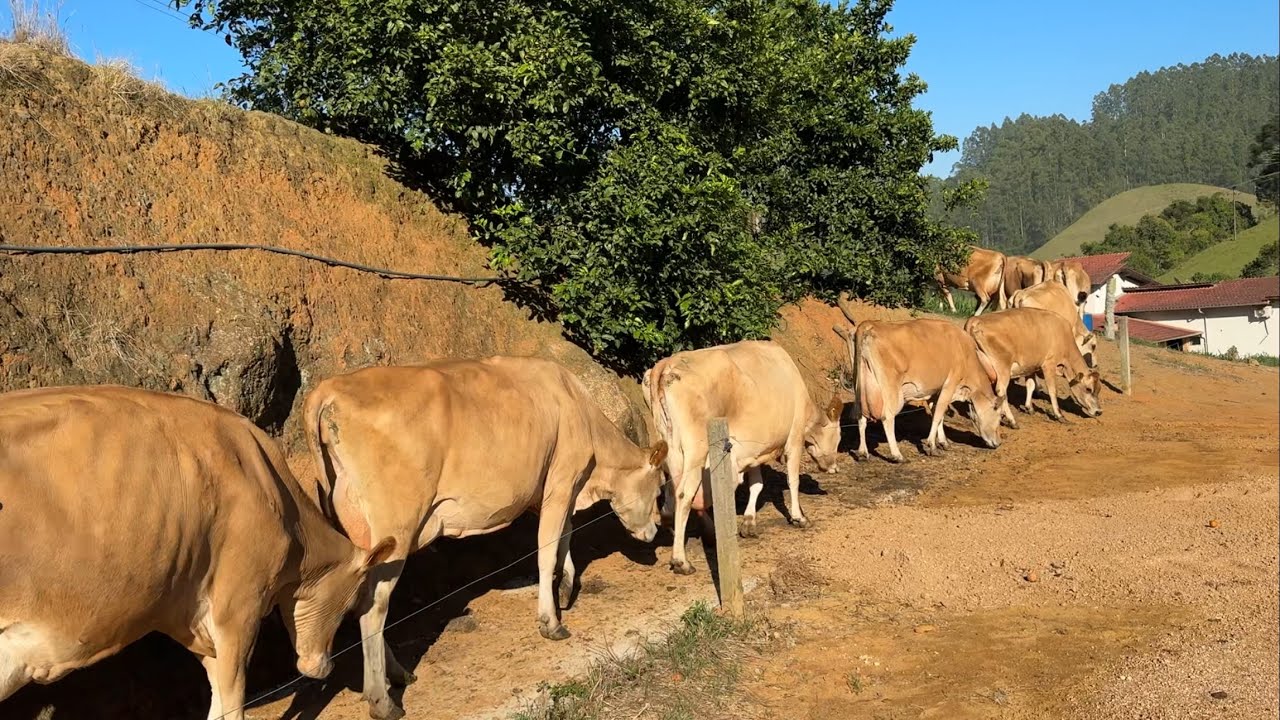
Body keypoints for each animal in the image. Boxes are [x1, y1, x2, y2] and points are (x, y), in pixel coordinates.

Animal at [302, 357, 667, 720]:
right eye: (660, 488)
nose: (654, 530)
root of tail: (329, 388)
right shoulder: (562, 479)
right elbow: (547, 550)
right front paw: (550, 622)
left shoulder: (559, 489)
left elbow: (564, 536)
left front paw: (565, 586)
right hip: (396, 528)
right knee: (374, 606)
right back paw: (382, 700)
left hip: (362, 534)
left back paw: (399, 673)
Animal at [645, 341, 842, 575]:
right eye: (838, 437)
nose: (834, 468)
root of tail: (667, 364)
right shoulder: (794, 438)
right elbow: (793, 480)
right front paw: (799, 517)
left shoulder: (753, 451)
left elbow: (756, 484)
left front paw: (749, 522)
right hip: (696, 450)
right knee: (685, 494)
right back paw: (681, 560)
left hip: (668, 447)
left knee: (672, 492)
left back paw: (693, 529)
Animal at [834, 316, 1003, 464]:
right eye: (1000, 415)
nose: (999, 443)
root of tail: (869, 325)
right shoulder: (949, 385)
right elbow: (938, 414)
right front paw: (932, 446)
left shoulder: (936, 390)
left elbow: (938, 414)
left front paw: (943, 442)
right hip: (891, 390)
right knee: (887, 417)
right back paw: (897, 455)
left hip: (860, 386)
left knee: (861, 417)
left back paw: (863, 453)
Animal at [964, 307, 1102, 426]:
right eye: (1089, 389)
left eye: (1099, 390)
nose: (1099, 412)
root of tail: (975, 321)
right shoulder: (1049, 365)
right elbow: (1052, 391)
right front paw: (1059, 415)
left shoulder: (1030, 367)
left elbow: (1030, 386)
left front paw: (1029, 407)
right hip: (1003, 368)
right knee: (1001, 391)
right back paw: (1012, 420)